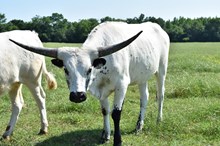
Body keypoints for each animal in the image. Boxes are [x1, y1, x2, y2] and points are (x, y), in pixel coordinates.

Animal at [10, 22, 170, 146]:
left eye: (89, 69)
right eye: (66, 70)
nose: (77, 96)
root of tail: (158, 28)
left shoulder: (122, 85)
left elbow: (116, 113)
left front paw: (117, 141)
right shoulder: (102, 90)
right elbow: (105, 111)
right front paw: (106, 135)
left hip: (162, 70)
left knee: (161, 94)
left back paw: (159, 119)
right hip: (142, 77)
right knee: (144, 98)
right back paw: (139, 126)